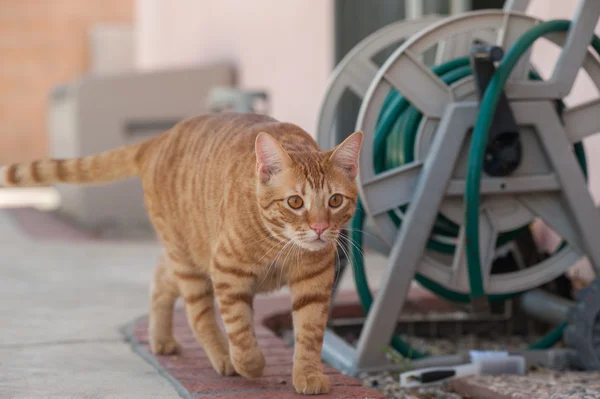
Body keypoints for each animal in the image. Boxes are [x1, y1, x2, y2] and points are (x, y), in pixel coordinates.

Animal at [0, 112, 360, 394]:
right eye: (295, 202)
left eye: (335, 201)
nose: (319, 228)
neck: (283, 245)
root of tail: (158, 139)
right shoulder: (227, 272)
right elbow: (240, 330)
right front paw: (249, 363)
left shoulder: (315, 280)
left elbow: (310, 333)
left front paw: (308, 373)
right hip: (190, 261)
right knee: (197, 314)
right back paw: (223, 357)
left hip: (188, 257)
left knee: (160, 281)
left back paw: (160, 338)